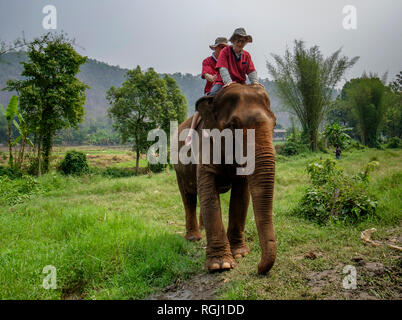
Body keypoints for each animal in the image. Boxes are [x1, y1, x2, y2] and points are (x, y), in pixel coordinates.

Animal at [173, 83, 276, 276]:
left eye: (274, 124)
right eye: (233, 126)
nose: (259, 268)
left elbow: (240, 195)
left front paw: (240, 254)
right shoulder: (205, 145)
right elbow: (208, 188)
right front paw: (221, 265)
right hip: (178, 168)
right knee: (189, 196)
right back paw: (193, 238)